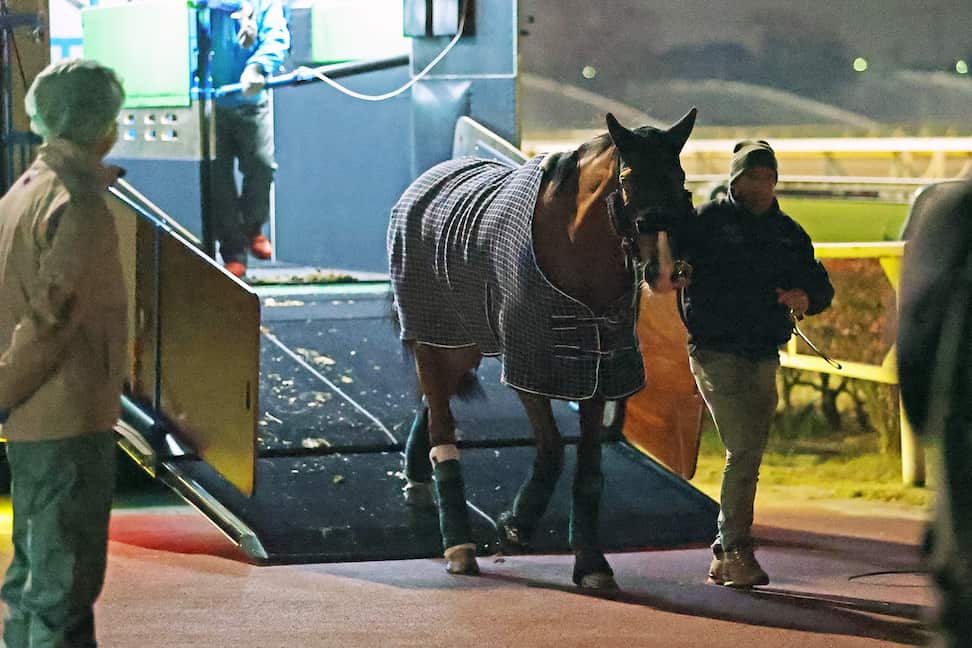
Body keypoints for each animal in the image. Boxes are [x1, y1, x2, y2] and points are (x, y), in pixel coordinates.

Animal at [387, 109, 697, 589]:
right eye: (628, 177)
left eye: (679, 177)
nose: (665, 272)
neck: (574, 249)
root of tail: (424, 182)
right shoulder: (528, 365)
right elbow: (552, 449)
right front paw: (516, 526)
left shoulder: (598, 369)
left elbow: (588, 466)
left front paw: (590, 562)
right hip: (433, 337)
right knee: (440, 419)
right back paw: (458, 545)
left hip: (466, 340)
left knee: (435, 398)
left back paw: (419, 478)